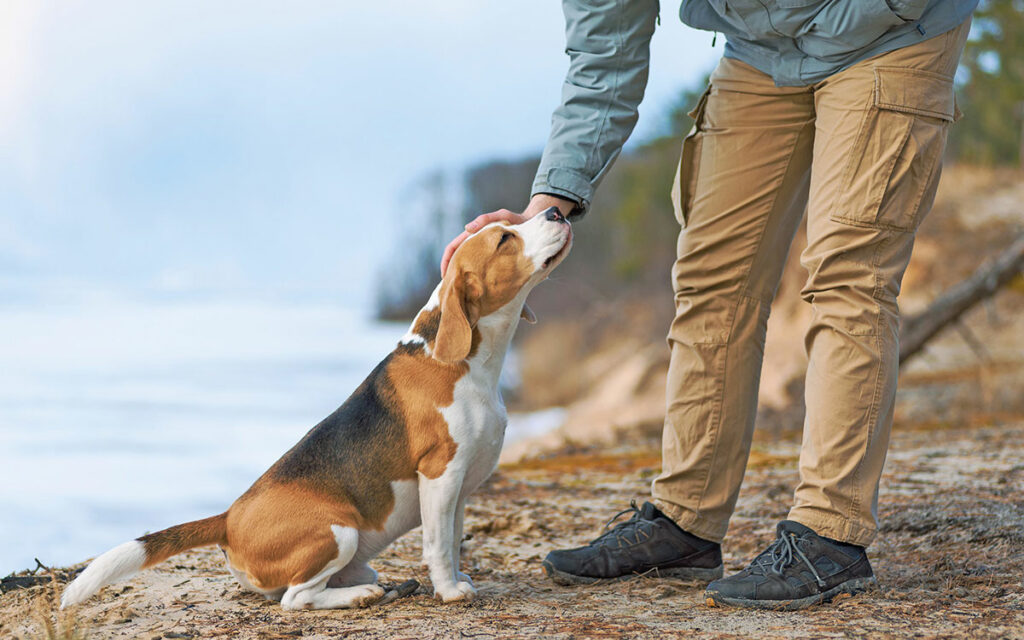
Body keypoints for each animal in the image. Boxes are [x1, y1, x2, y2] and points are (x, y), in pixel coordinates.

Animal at [59, 208, 573, 610]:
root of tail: (228, 518)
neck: (468, 362)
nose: (556, 212)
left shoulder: (460, 487)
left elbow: (452, 538)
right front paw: (449, 590)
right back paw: (359, 596)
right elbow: (438, 545)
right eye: (504, 238)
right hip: (338, 531)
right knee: (296, 599)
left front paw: (458, 578)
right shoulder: (440, 474)